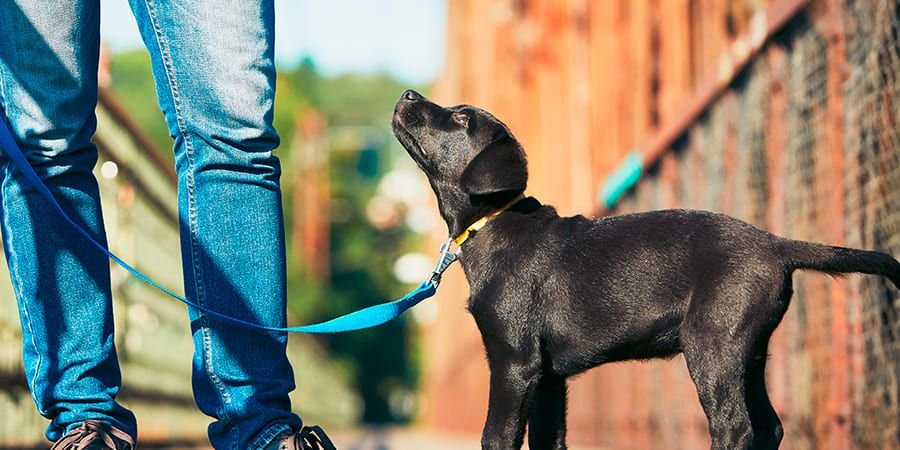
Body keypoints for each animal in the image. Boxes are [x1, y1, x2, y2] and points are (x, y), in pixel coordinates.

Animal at [392, 89, 900, 450]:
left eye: (461, 119)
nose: (408, 94)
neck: (492, 222)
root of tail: (776, 244)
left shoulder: (514, 362)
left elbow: (496, 436)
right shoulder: (549, 377)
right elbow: (549, 441)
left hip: (712, 344)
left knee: (735, 427)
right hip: (749, 351)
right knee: (769, 427)